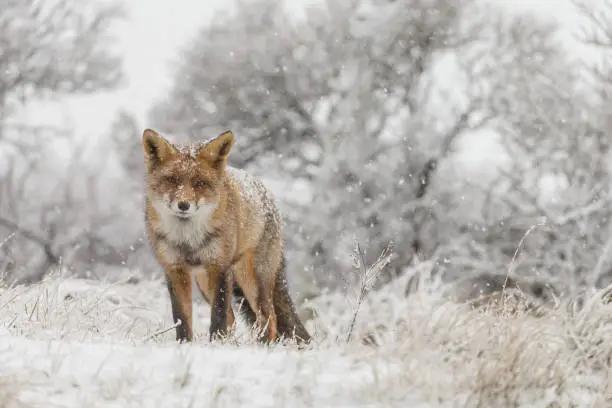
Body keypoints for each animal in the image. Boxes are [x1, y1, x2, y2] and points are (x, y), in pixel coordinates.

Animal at [140, 128, 308, 344]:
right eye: (172, 180)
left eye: (199, 183)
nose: (184, 205)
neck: (188, 239)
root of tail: (269, 195)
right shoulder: (175, 270)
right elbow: (182, 318)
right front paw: (184, 345)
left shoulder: (220, 268)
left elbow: (218, 316)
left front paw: (215, 344)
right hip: (205, 282)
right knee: (233, 317)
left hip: (253, 280)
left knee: (268, 318)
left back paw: (263, 347)